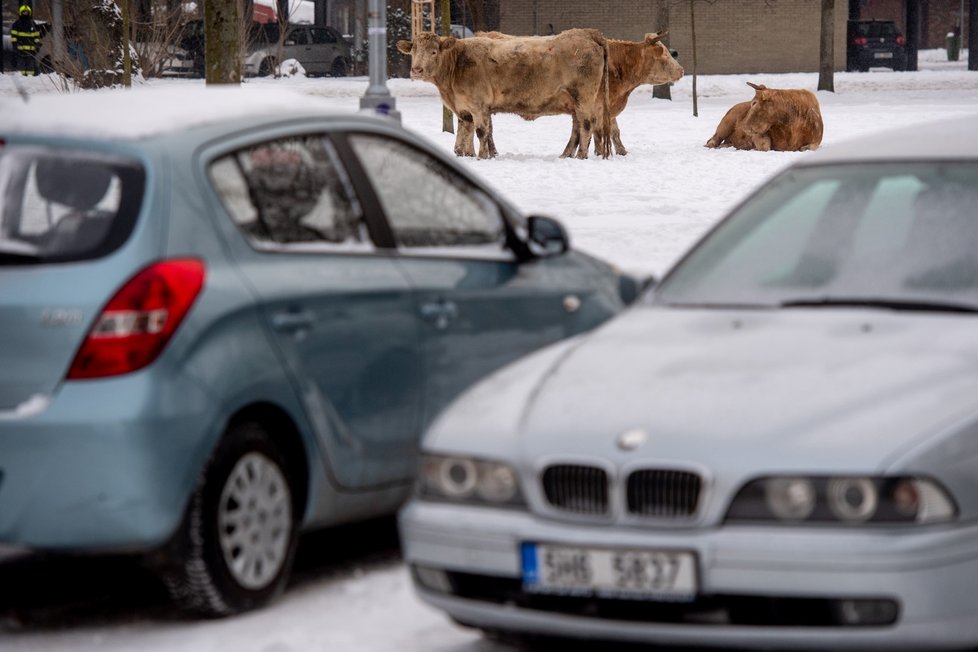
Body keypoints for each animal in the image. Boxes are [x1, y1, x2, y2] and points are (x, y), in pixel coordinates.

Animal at [392, 29, 608, 159]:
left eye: (434, 51)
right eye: (414, 50)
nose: (417, 70)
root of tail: (587, 33)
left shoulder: (478, 105)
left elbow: (481, 132)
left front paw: (482, 156)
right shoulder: (464, 109)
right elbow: (465, 132)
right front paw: (465, 154)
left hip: (583, 96)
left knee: (586, 125)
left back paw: (580, 156)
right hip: (574, 101)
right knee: (577, 128)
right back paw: (565, 155)